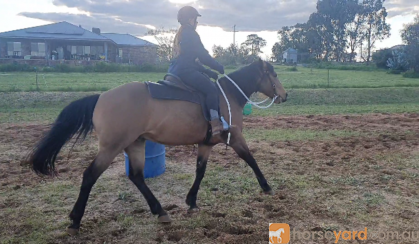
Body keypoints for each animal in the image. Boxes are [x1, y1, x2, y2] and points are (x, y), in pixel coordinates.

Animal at [26, 57, 288, 234]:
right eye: (274, 74)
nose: (284, 96)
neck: (228, 95)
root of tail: (101, 97)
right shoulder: (234, 137)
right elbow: (251, 159)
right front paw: (266, 186)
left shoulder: (206, 144)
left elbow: (200, 171)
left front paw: (192, 201)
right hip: (111, 148)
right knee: (90, 175)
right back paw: (76, 220)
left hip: (134, 144)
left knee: (137, 177)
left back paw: (159, 211)